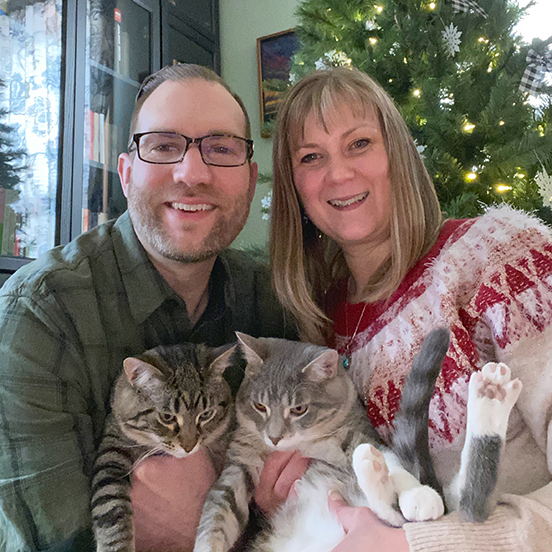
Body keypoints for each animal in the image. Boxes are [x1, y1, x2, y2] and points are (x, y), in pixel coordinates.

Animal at [91, 342, 237, 548]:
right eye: (167, 417)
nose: (189, 447)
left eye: (206, 415)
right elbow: (110, 503)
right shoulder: (112, 452)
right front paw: (117, 545)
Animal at [194, 330, 520, 548]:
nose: (274, 437)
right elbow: (217, 515)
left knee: (460, 508)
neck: (303, 444)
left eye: (298, 409)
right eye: (260, 406)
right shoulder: (240, 462)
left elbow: (399, 468)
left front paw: (417, 494)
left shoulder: (361, 434)